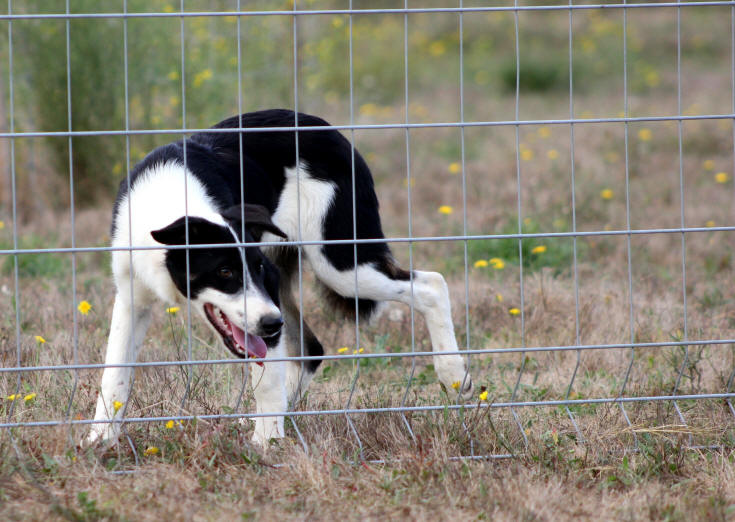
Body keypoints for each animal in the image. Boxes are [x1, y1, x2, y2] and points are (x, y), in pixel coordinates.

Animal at [86, 107, 474, 444]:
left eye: (253, 268)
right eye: (224, 271)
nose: (272, 325)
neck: (171, 206)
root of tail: (327, 129)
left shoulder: (267, 285)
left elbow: (266, 381)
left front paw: (265, 445)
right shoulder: (131, 300)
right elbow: (114, 375)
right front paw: (99, 442)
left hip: (340, 263)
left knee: (431, 284)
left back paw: (455, 376)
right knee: (311, 350)